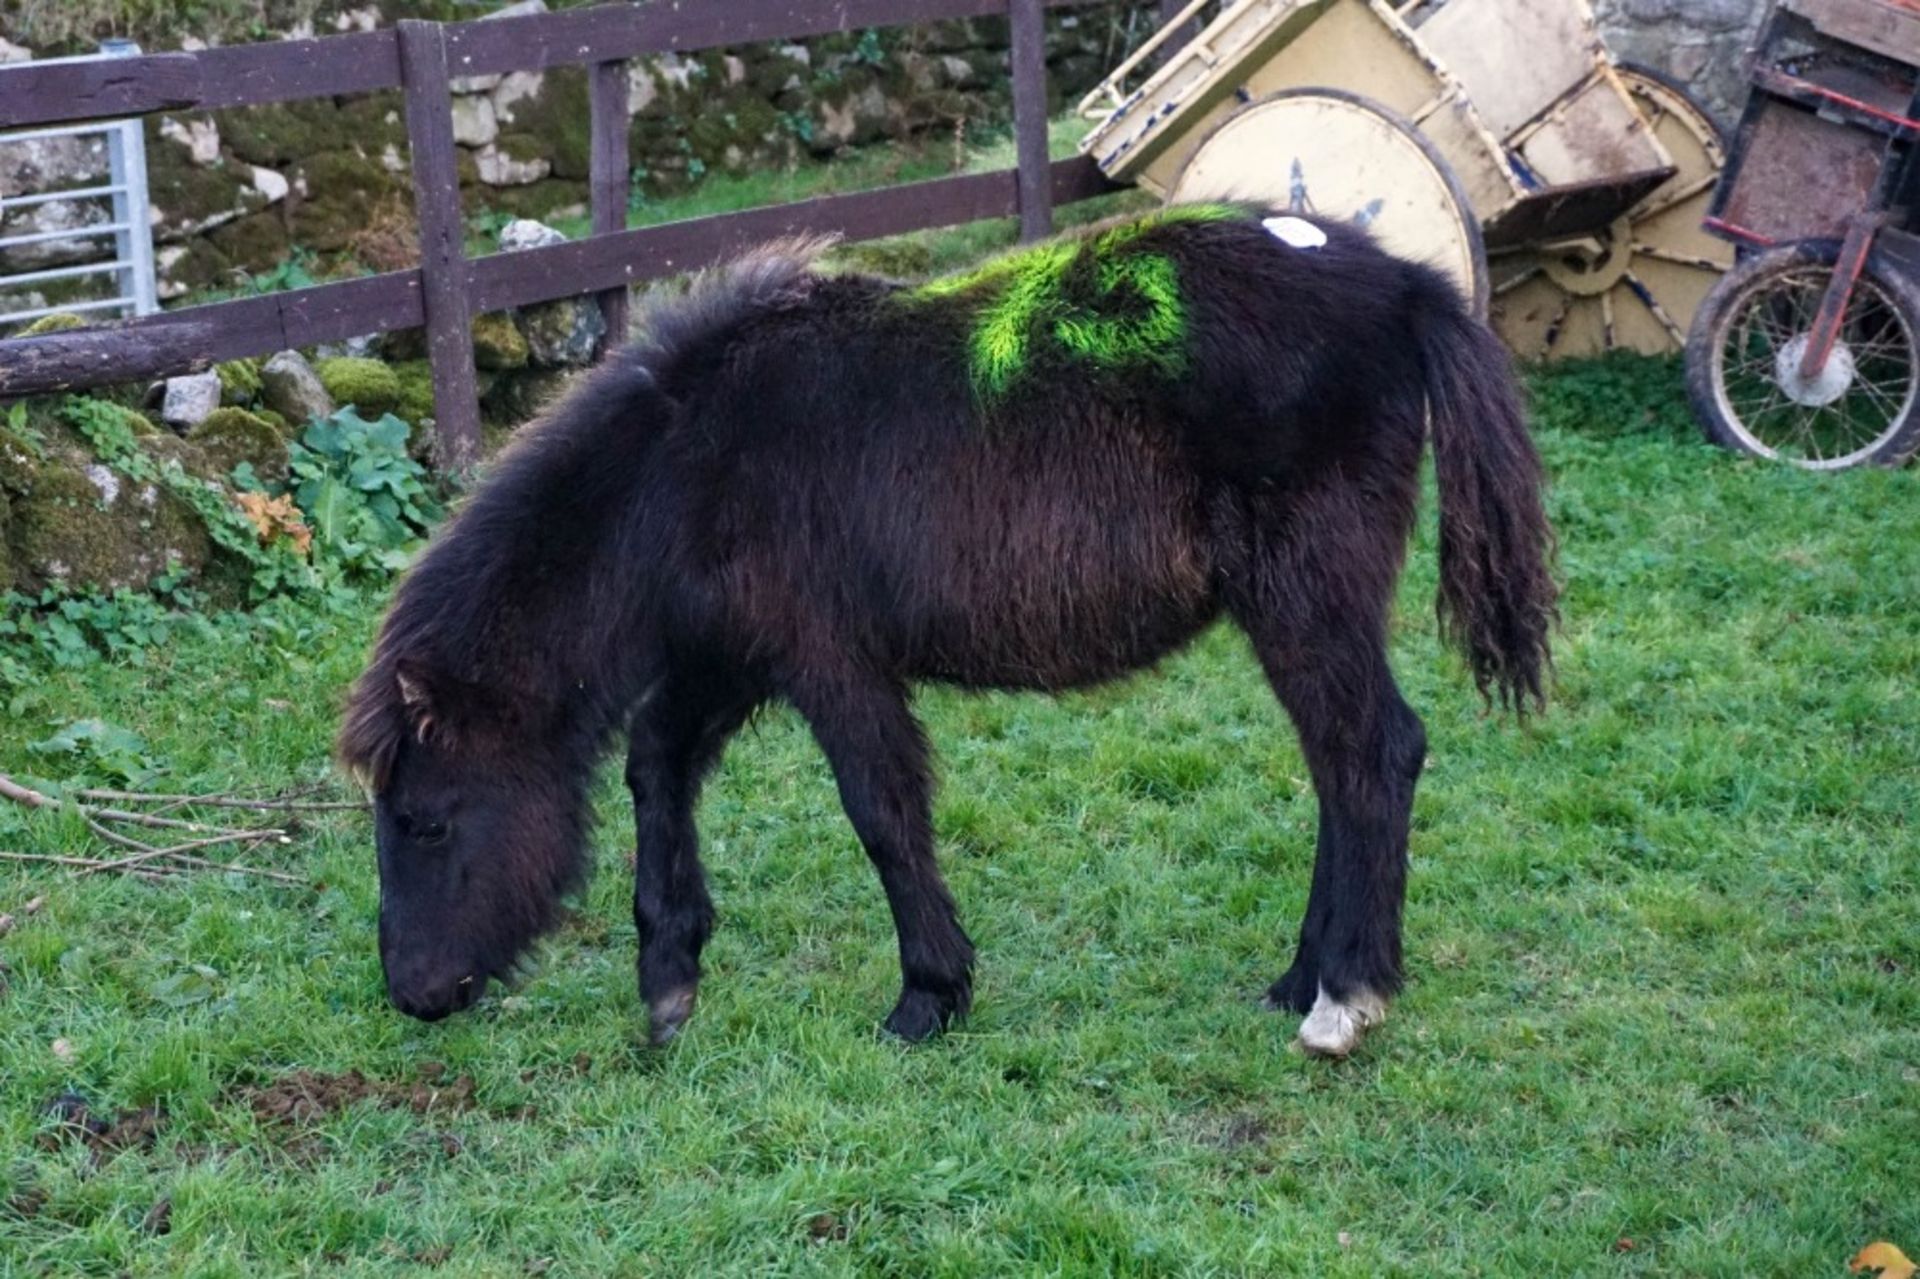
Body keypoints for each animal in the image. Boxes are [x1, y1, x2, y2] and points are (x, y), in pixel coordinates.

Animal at [337, 206, 1551, 1052]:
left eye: (427, 822)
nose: (413, 994)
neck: (691, 461)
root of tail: (1402, 283)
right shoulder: (732, 657)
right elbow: (656, 764)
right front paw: (671, 977)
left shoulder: (826, 659)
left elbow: (881, 810)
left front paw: (928, 996)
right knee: (1339, 764)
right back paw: (1302, 977)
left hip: (1306, 593)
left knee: (1373, 752)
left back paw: (1346, 997)